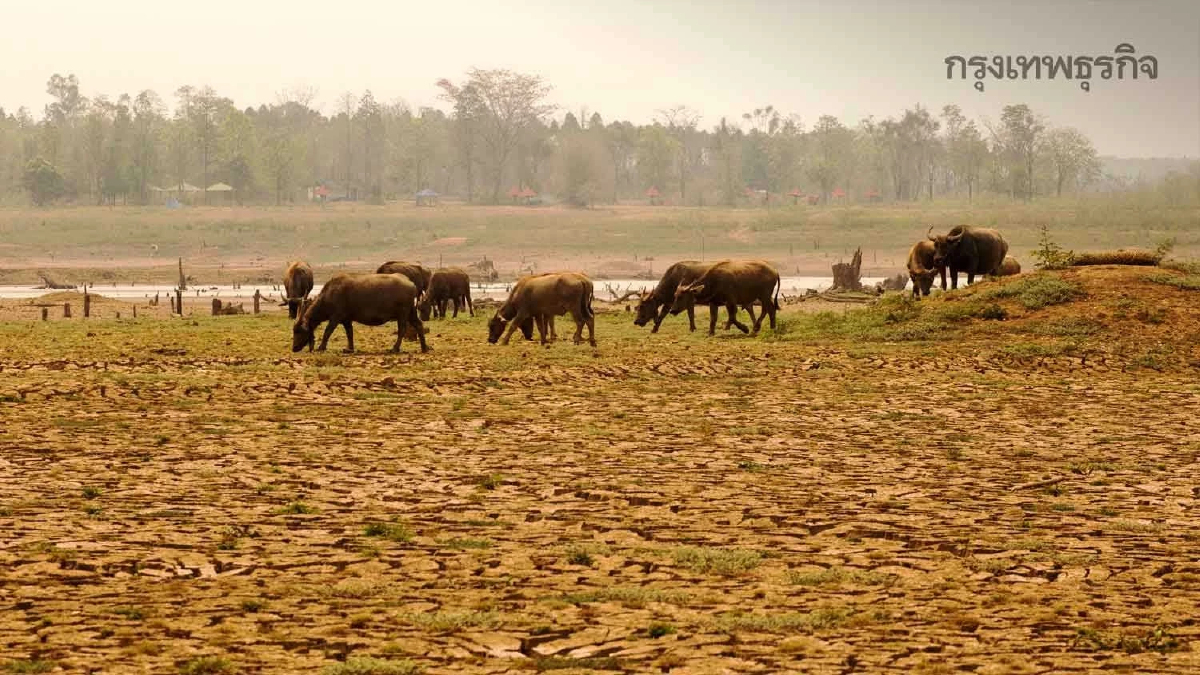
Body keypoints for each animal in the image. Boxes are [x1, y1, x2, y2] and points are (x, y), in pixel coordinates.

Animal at [292, 271, 429, 355]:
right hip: (411, 313)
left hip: (403, 314)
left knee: (402, 330)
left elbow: (327, 331)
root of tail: (411, 284)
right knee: (419, 325)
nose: (294, 348)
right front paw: (349, 348)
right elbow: (350, 333)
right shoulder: (346, 320)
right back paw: (424, 348)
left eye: (299, 331)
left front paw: (321, 347)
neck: (329, 294)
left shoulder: (335, 318)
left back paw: (395, 348)